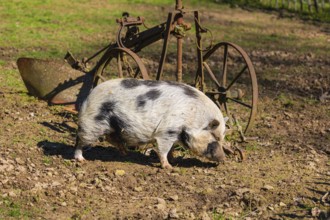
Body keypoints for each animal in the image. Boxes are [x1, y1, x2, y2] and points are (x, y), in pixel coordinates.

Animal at [74, 78, 227, 169]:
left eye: (222, 138)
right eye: (215, 137)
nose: (223, 158)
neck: (193, 117)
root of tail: (89, 95)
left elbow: (171, 149)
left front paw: (174, 160)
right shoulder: (167, 130)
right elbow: (163, 149)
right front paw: (169, 167)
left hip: (112, 126)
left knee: (110, 138)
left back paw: (125, 153)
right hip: (92, 123)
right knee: (80, 140)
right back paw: (81, 160)